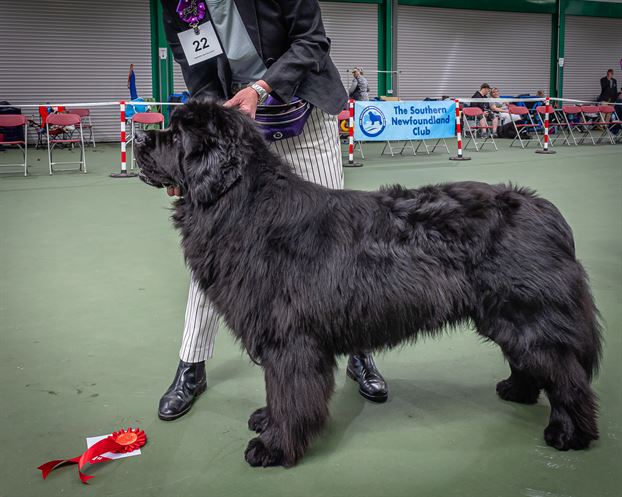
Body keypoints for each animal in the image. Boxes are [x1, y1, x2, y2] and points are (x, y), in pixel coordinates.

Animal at [135, 99, 604, 466]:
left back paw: (569, 433)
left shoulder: (290, 339)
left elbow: (289, 394)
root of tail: (544, 209)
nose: (140, 138)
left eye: (177, 136)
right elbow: (278, 392)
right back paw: (516, 391)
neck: (242, 203)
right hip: (503, 316)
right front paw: (267, 421)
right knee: (531, 362)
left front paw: (275, 446)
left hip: (529, 316)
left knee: (566, 376)